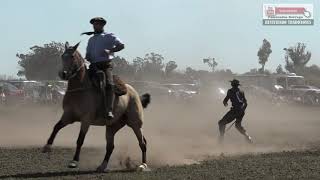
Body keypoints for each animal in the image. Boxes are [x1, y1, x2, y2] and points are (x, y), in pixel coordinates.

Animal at [42, 41, 151, 172]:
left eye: (72, 56)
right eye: (62, 56)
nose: (63, 74)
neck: (80, 89)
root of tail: (135, 94)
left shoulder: (86, 120)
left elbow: (80, 140)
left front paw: (74, 161)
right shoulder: (68, 116)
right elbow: (56, 127)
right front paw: (47, 146)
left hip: (135, 123)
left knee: (142, 143)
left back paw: (143, 165)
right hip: (112, 127)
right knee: (110, 147)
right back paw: (102, 166)